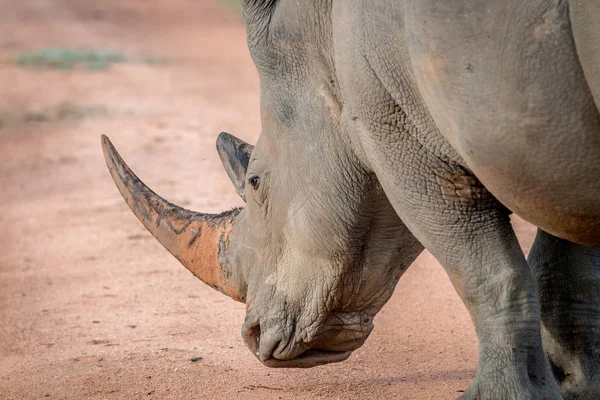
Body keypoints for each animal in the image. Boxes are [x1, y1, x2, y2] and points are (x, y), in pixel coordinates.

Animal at [101, 1, 596, 398]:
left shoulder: (406, 144)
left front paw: (504, 396)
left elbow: (487, 273)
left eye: (256, 182)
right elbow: (564, 264)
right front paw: (575, 386)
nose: (253, 335)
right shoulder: (561, 155)